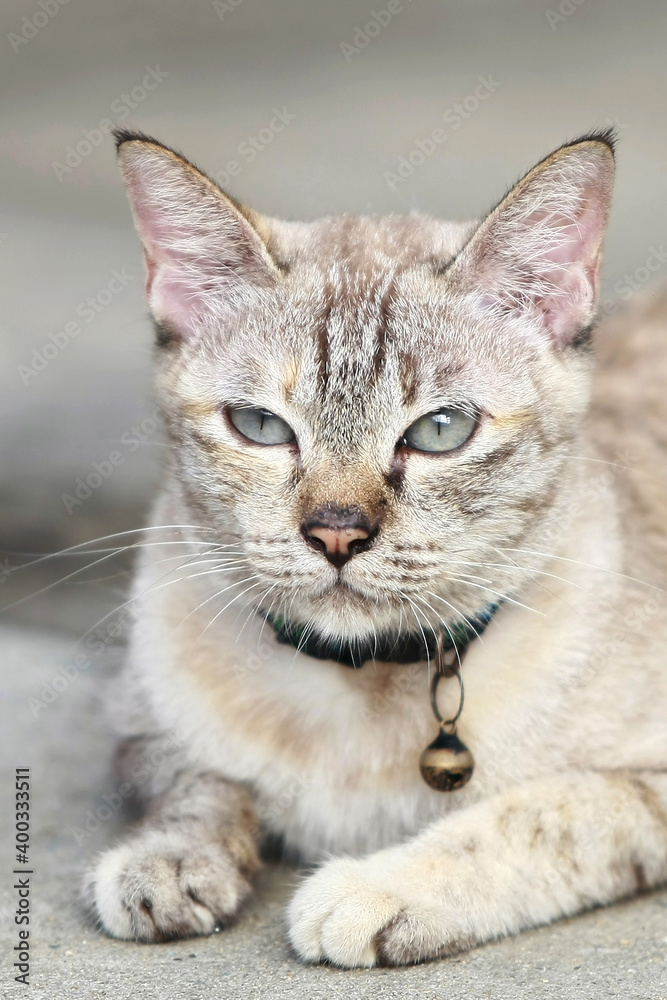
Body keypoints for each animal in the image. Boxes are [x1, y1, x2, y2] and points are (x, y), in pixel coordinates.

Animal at [83, 129, 667, 964]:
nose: (336, 531)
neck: (356, 692)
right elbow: (201, 783)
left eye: (440, 430)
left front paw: (378, 886)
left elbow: (539, 815)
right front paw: (166, 862)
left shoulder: (645, 782)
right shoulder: (140, 719)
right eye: (259, 427)